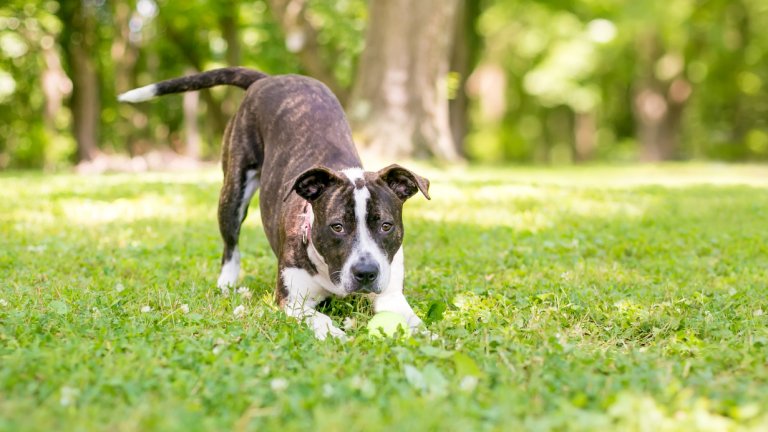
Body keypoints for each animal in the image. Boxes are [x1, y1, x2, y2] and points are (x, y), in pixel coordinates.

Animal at [120, 67, 432, 340]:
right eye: (338, 226)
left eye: (386, 226)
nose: (366, 272)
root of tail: (270, 78)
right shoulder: (293, 303)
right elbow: (319, 317)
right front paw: (333, 333)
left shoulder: (391, 295)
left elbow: (411, 319)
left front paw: (429, 336)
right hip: (233, 192)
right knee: (230, 246)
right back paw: (227, 283)